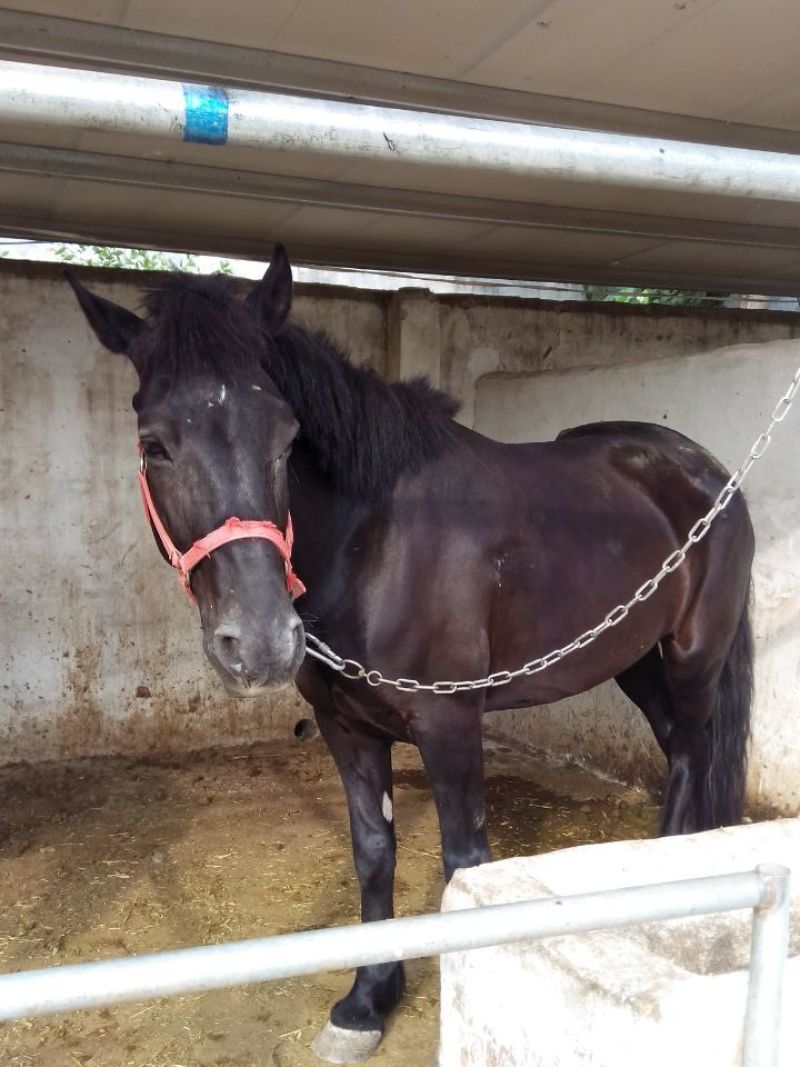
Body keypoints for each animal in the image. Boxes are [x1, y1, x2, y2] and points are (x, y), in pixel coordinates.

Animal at [67, 245, 754, 1063]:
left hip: (691, 656)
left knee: (692, 751)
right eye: (154, 444)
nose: (261, 641)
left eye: (287, 439)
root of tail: (704, 468)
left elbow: (465, 862)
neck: (375, 540)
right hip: (634, 658)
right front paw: (368, 999)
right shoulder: (346, 727)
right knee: (678, 747)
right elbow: (374, 852)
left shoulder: (450, 725)